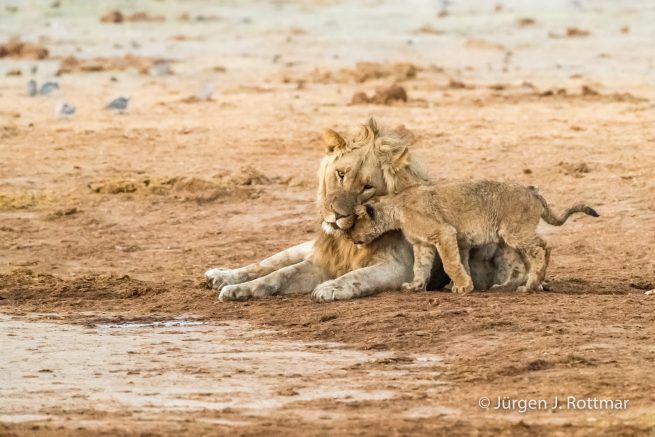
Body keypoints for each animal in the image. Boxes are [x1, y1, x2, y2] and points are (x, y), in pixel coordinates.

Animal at [205, 118, 527, 301]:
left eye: (367, 187)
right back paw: (221, 276)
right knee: (267, 263)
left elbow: (358, 276)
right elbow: (278, 275)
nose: (336, 216)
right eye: (341, 174)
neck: (346, 240)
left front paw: (331, 288)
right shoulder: (319, 261)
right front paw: (240, 291)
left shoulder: (399, 267)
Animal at [347, 181, 599, 293]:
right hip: (512, 237)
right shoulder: (422, 245)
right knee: (527, 259)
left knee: (542, 248)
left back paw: (529, 286)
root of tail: (533, 191)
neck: (396, 207)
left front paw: (462, 287)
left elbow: (450, 263)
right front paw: (415, 286)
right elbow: (421, 267)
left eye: (354, 223)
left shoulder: (444, 232)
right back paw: (527, 285)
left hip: (514, 231)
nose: (350, 238)